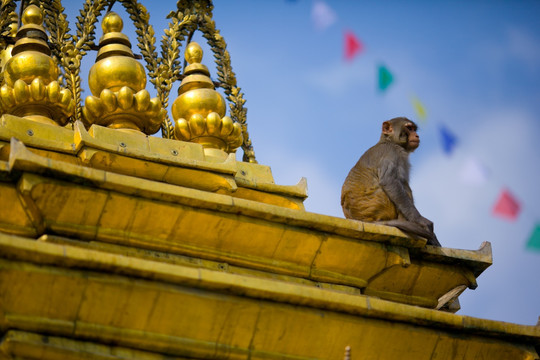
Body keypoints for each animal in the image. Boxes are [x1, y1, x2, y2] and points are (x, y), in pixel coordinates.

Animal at [344, 116, 440, 246]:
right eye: (409, 128)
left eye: (414, 129)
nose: (416, 135)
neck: (389, 141)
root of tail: (361, 219)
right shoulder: (392, 153)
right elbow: (389, 181)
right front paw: (420, 221)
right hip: (380, 206)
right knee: (402, 184)